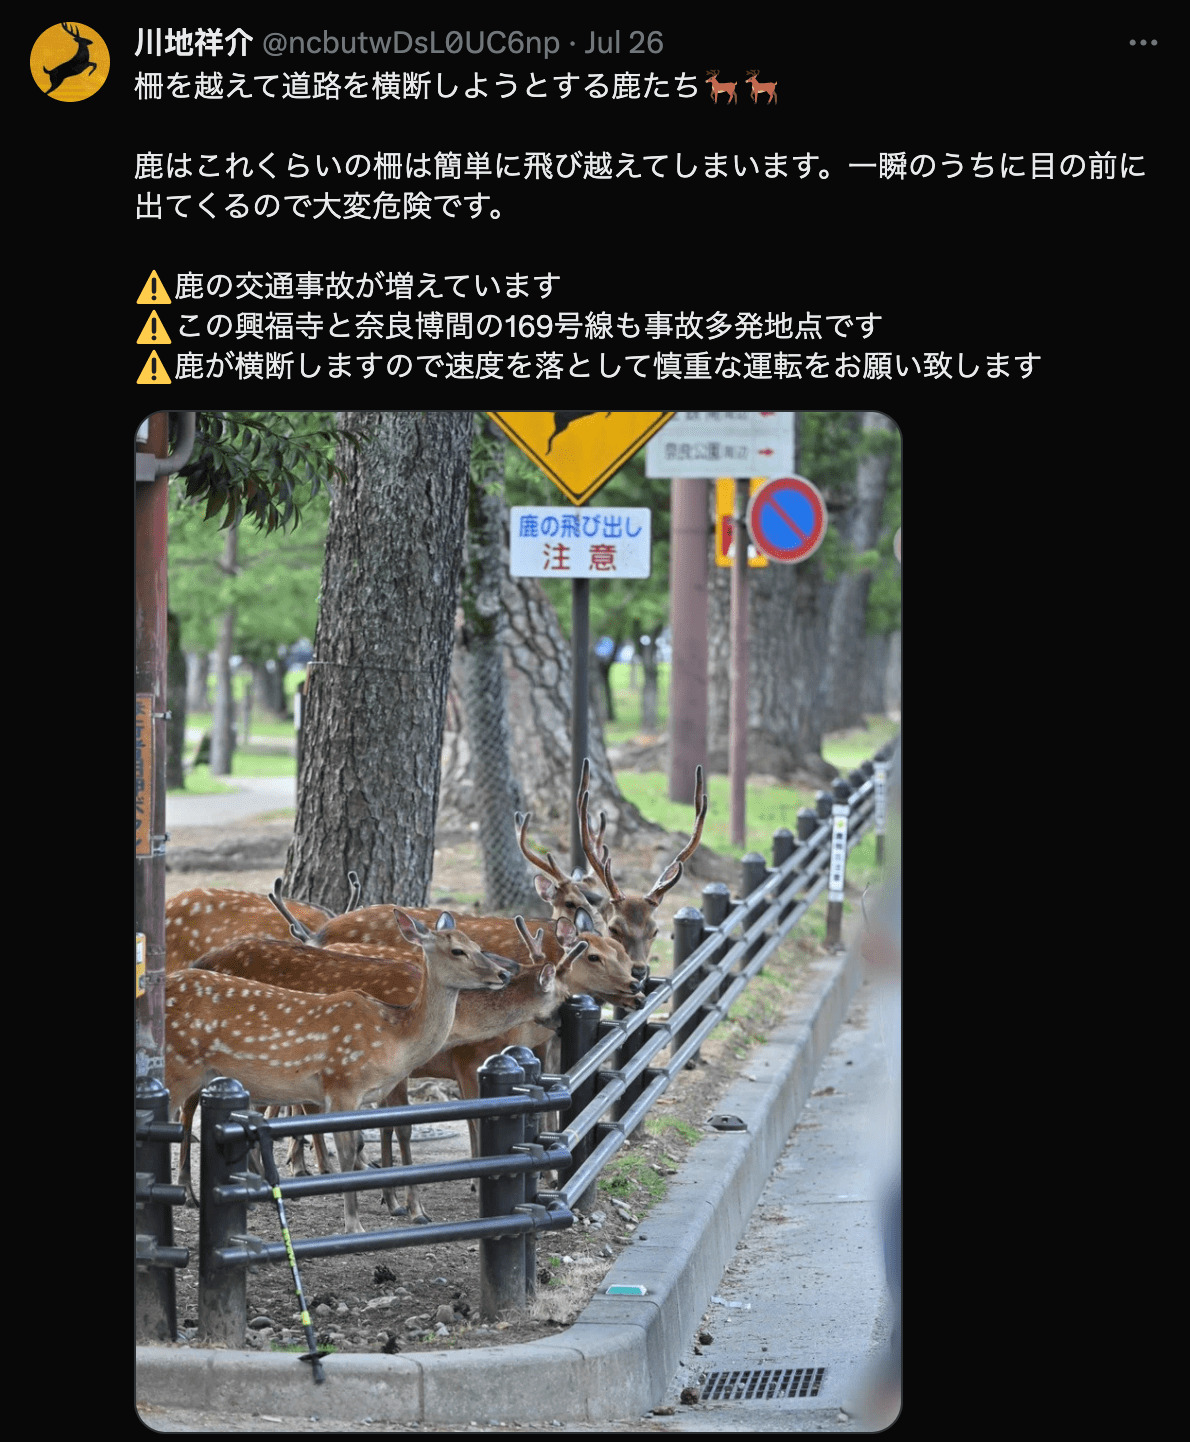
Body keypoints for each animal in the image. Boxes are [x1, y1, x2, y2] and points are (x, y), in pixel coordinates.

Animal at [165, 910, 513, 1232]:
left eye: (478, 945)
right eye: (457, 950)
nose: (504, 973)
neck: (394, 1038)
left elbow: (361, 1144)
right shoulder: (342, 1083)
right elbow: (347, 1153)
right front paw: (354, 1225)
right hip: (178, 1068)